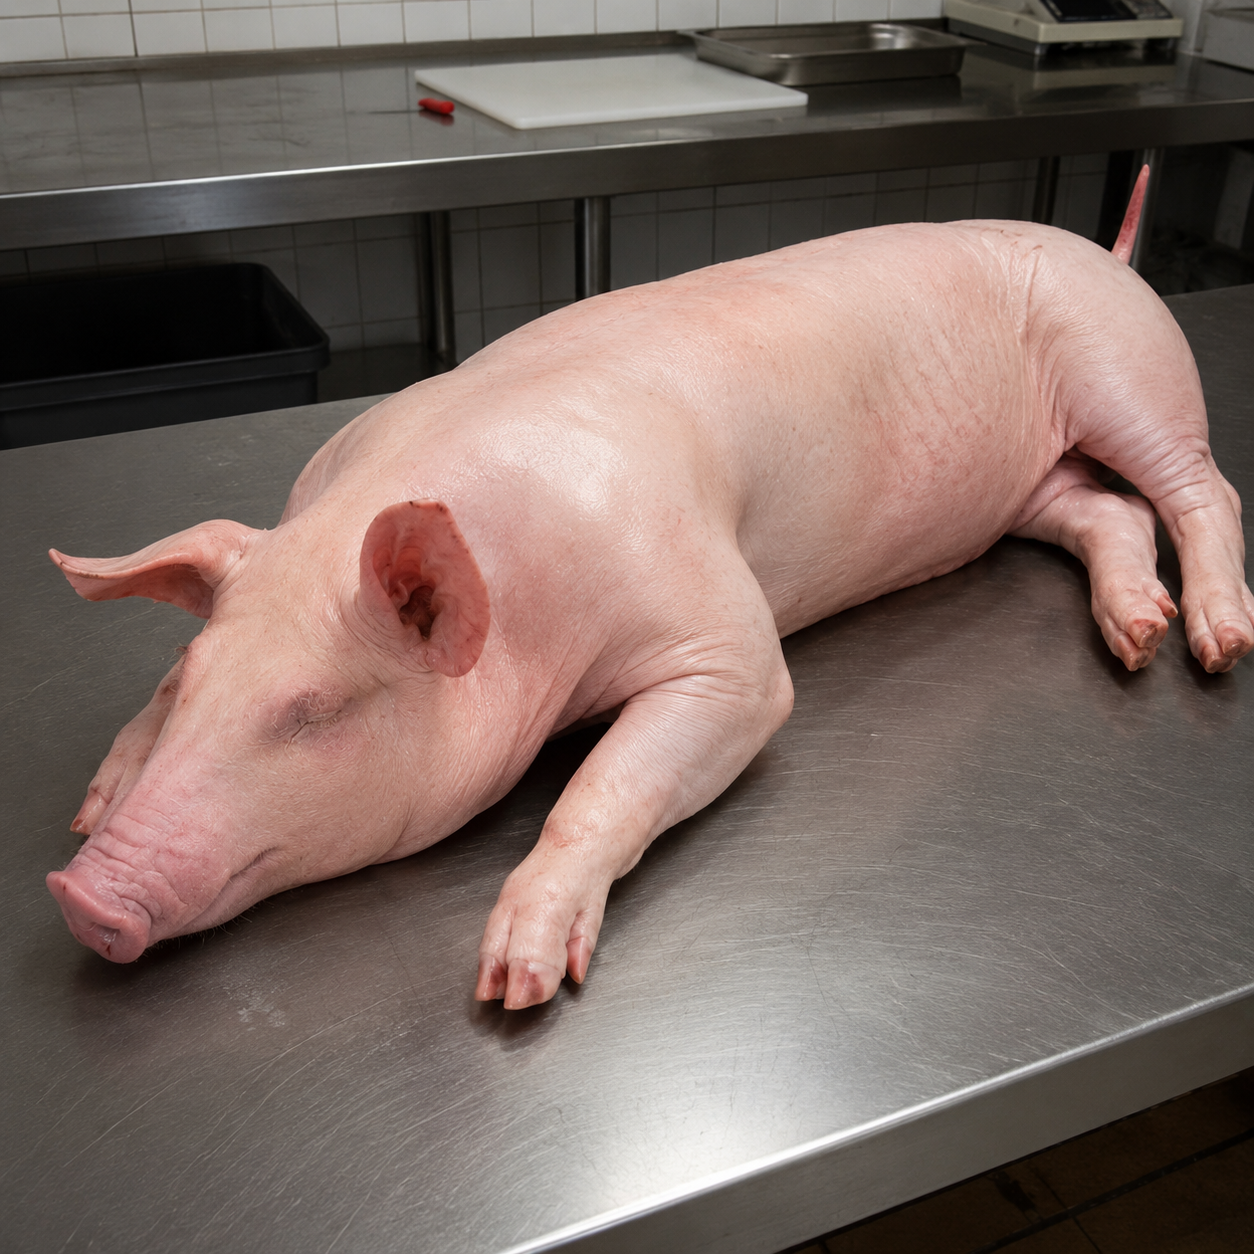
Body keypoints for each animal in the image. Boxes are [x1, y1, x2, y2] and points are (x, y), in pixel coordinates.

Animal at [47, 212, 1254, 1010]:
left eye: (310, 714)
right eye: (195, 682)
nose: (78, 895)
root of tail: (1111, 250)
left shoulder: (722, 636)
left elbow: (624, 772)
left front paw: (515, 985)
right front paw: (87, 808)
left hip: (1130, 368)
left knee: (1199, 487)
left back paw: (1214, 644)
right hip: (1020, 486)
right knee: (1104, 511)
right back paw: (1138, 634)